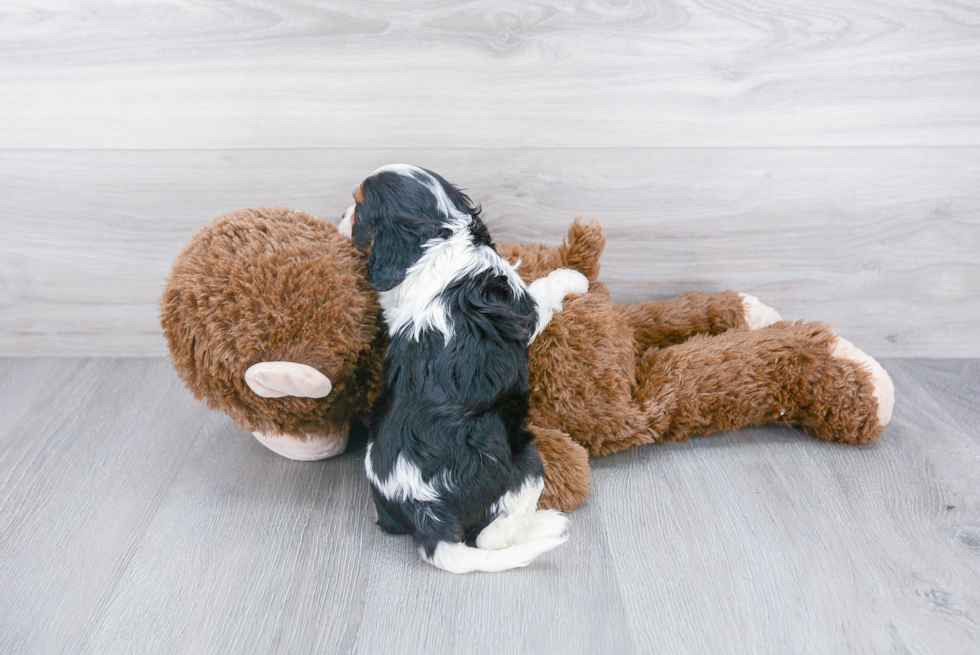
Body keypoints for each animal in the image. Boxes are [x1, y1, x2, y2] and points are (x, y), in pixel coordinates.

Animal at [344, 165, 584, 576]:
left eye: (358, 209)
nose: (341, 216)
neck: (441, 238)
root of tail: (426, 513)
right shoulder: (524, 308)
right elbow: (545, 288)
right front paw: (574, 278)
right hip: (525, 460)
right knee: (491, 535)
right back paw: (548, 523)